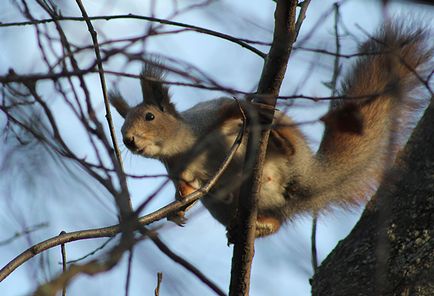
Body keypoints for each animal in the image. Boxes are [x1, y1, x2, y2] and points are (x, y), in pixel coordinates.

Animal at [107, 23, 430, 240]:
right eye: (122, 126)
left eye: (149, 116)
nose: (128, 140)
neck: (183, 147)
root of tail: (307, 178)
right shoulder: (181, 170)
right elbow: (187, 189)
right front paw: (177, 210)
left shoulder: (209, 115)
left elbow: (233, 108)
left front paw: (250, 107)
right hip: (227, 206)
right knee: (277, 223)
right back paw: (254, 227)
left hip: (289, 154)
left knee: (287, 152)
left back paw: (279, 141)